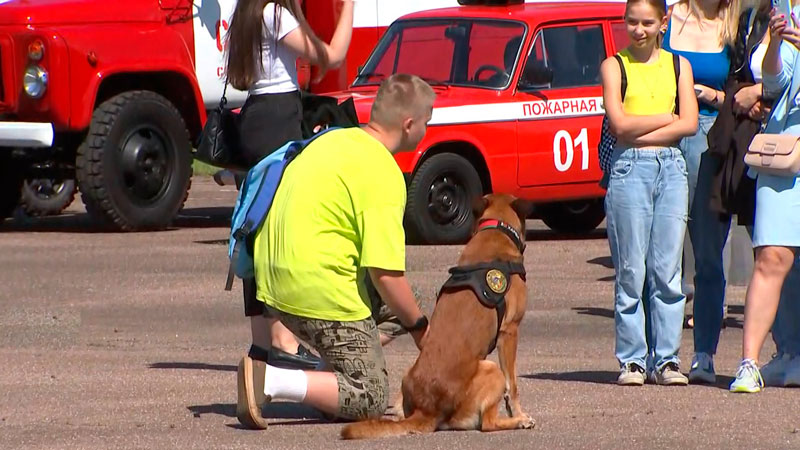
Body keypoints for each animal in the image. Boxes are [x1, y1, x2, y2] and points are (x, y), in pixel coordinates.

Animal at [340, 194, 536, 440]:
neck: (495, 230)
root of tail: (426, 409)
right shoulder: (510, 331)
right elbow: (513, 385)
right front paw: (518, 412)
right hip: (491, 368)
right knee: (488, 423)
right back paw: (518, 422)